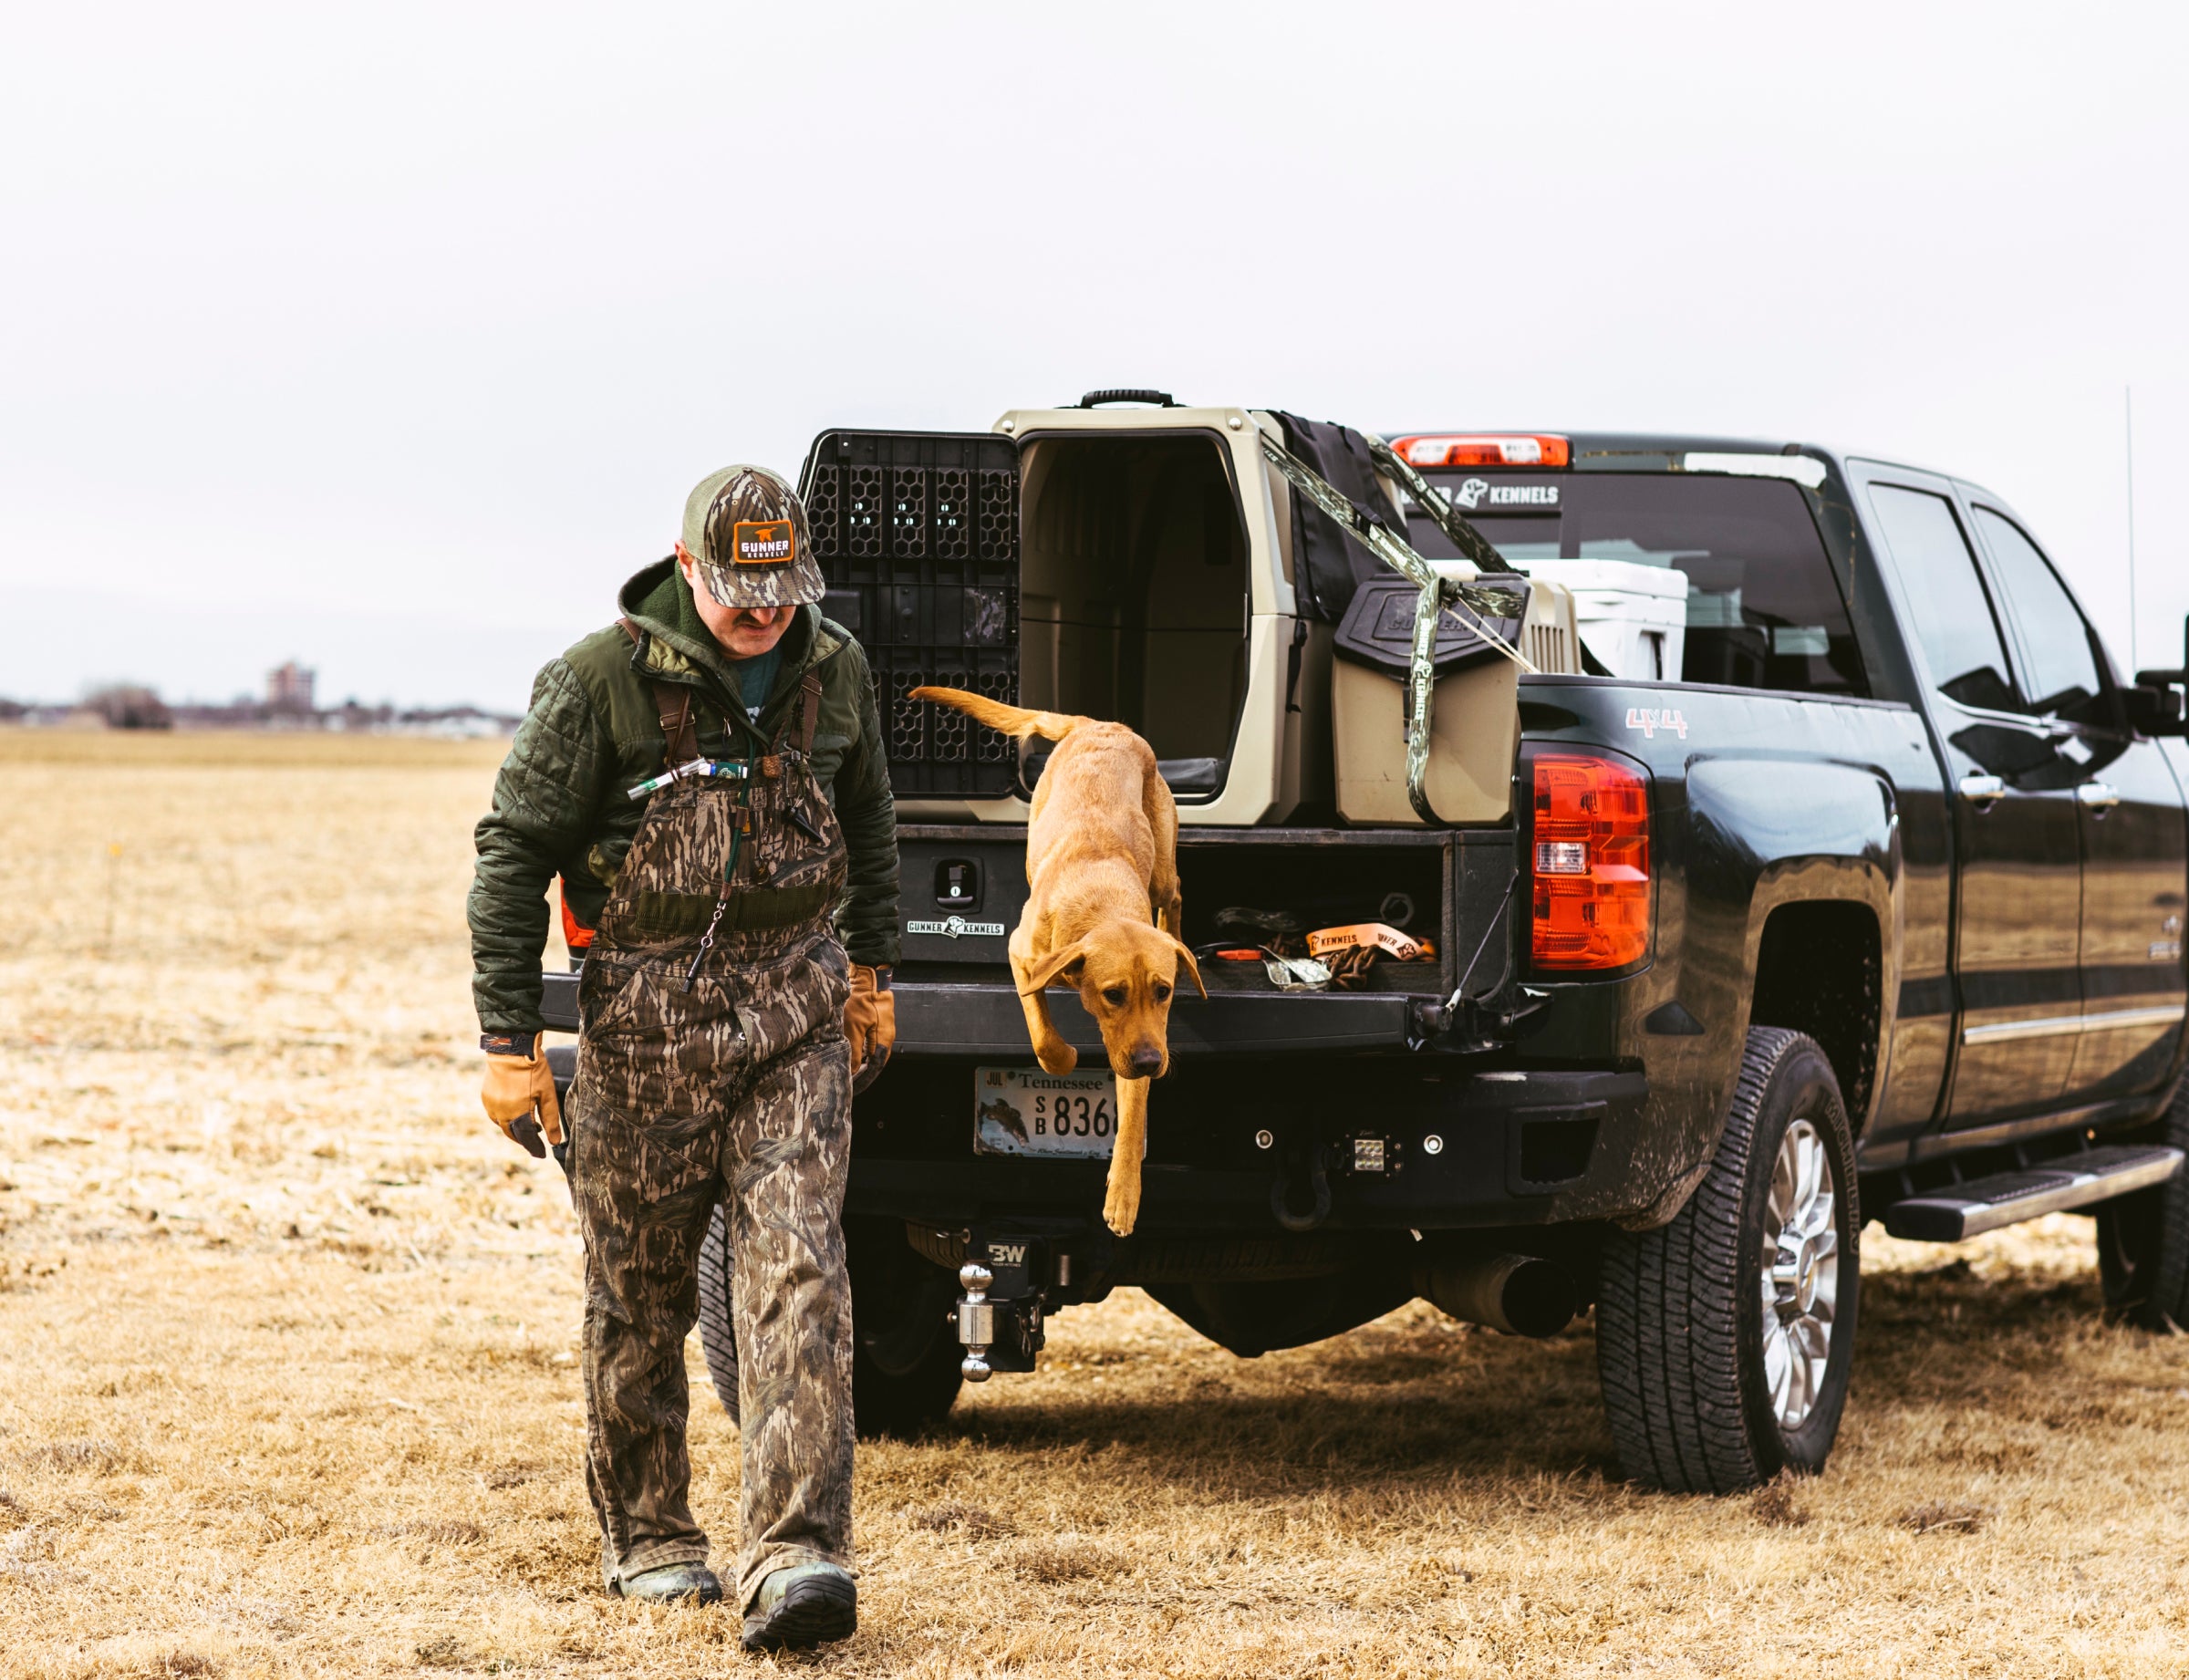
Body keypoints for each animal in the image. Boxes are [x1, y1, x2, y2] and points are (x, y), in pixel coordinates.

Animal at [915, 687, 1208, 1233]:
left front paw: (1124, 1194)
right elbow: (1043, 1036)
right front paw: (1065, 1058)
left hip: (1160, 862)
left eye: (1163, 992)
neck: (1101, 902)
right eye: (1113, 994)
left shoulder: (1139, 1042)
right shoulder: (1022, 955)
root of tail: (1099, 725)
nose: (1152, 1063)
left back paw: (1177, 938)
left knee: (1175, 890)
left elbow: (1134, 1112)